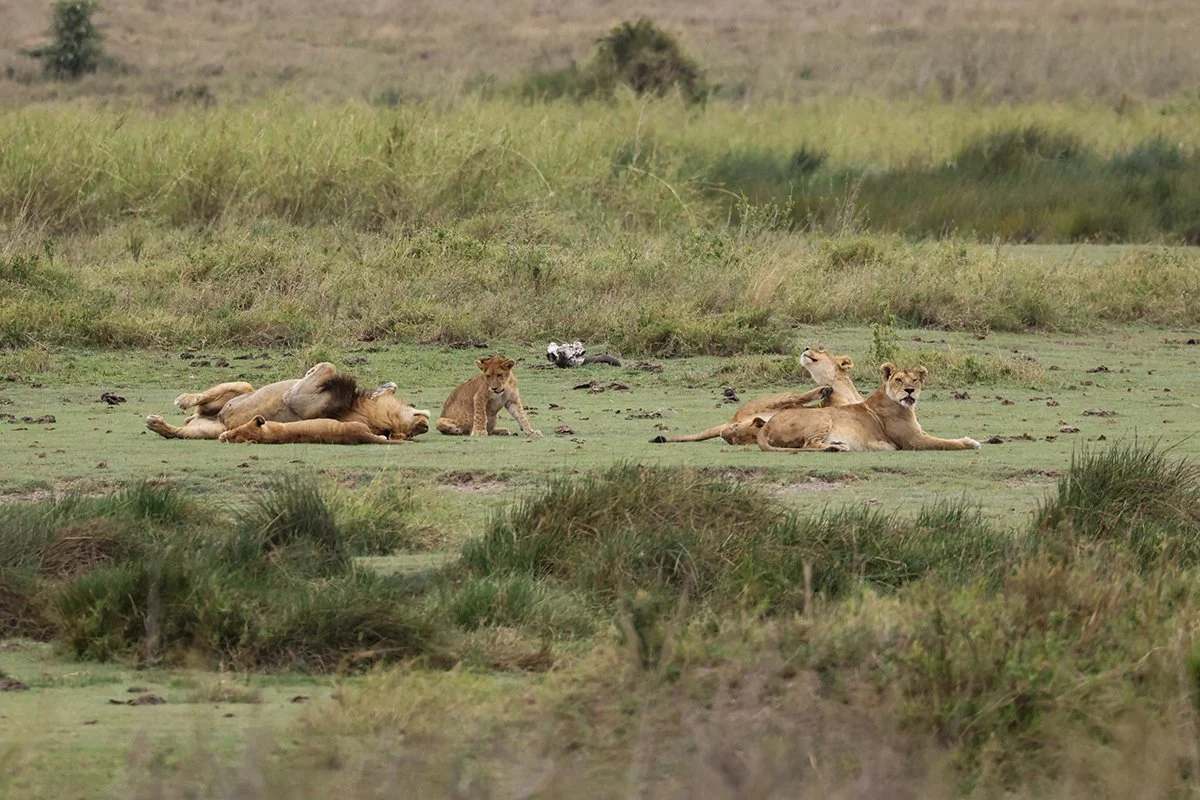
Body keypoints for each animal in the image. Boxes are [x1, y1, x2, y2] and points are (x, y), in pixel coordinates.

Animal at [146, 362, 430, 442]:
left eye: (410, 432)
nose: (425, 425)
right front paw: (385, 387)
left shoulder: (298, 399)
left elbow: (328, 365)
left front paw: (312, 370)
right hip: (243, 388)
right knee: (205, 398)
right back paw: (184, 401)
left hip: (208, 431)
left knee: (180, 432)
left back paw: (158, 424)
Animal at [650, 348, 865, 445]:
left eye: (822, 350)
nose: (805, 348)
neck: (845, 392)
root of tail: (734, 418)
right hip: (777, 398)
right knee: (795, 398)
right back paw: (821, 390)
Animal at [736, 362, 981, 452]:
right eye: (899, 380)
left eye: (915, 380)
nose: (910, 390)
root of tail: (767, 426)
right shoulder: (913, 440)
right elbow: (945, 443)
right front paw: (970, 442)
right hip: (822, 417)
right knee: (808, 444)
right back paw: (837, 448)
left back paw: (836, 445)